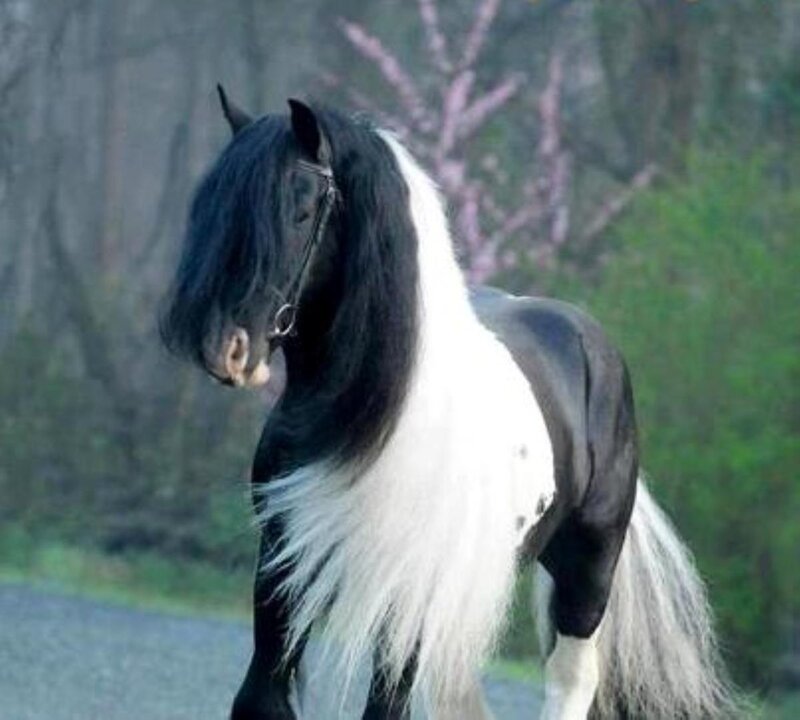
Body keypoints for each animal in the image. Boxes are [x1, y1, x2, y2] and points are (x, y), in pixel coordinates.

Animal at [160, 87, 740, 719]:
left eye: (302, 208)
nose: (227, 348)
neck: (366, 423)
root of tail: (589, 341)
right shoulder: (283, 567)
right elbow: (261, 698)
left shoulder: (411, 596)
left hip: (587, 569)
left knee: (570, 679)